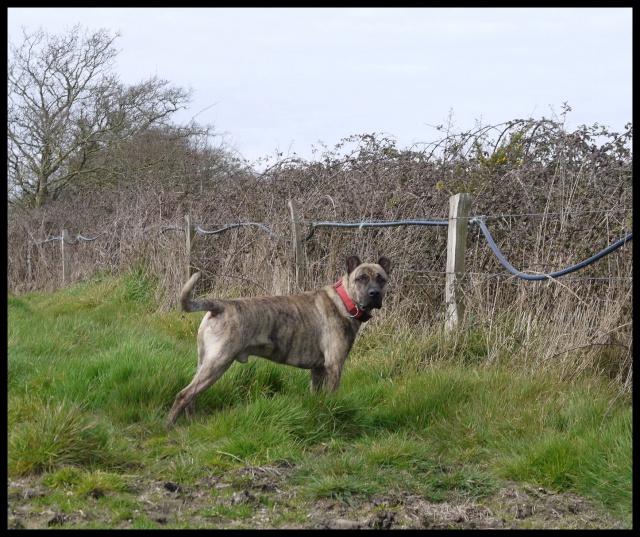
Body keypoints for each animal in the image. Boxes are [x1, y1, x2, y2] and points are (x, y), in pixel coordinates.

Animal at [165, 255, 392, 428]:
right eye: (361, 278)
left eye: (381, 279)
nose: (374, 294)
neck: (345, 301)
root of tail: (220, 305)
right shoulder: (334, 366)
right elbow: (332, 398)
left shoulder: (318, 370)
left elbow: (317, 397)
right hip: (218, 362)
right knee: (184, 395)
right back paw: (169, 427)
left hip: (205, 362)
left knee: (192, 396)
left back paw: (193, 423)